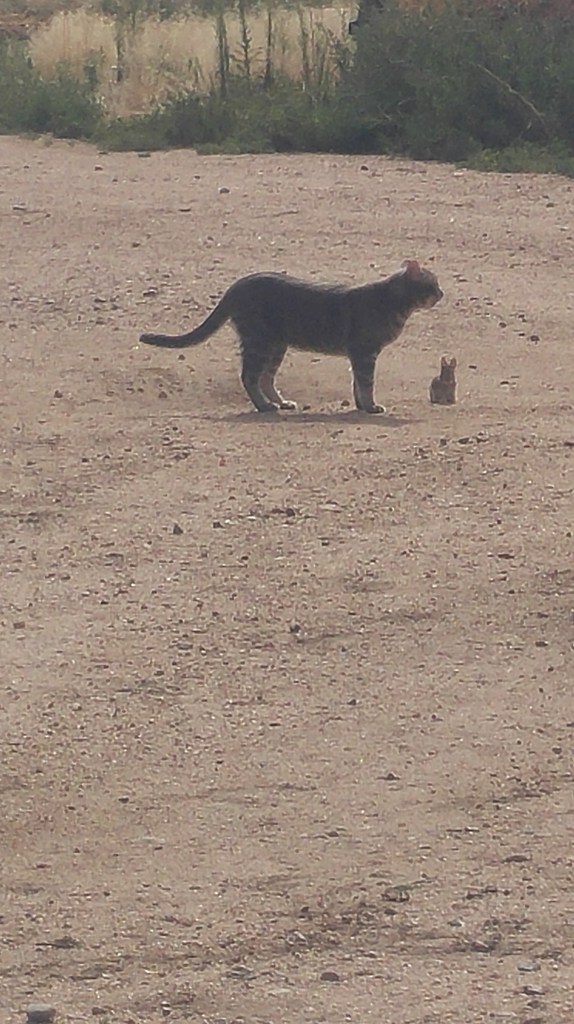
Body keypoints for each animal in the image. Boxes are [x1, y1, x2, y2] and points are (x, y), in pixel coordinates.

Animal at [139, 259, 443, 414]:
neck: (393, 303)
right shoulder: (365, 352)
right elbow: (366, 384)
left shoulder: (359, 356)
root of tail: (237, 284)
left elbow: (357, 384)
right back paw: (265, 406)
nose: (442, 293)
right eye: (433, 284)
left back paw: (281, 402)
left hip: (276, 346)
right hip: (259, 341)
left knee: (265, 378)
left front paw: (360, 405)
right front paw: (369, 406)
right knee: (249, 377)